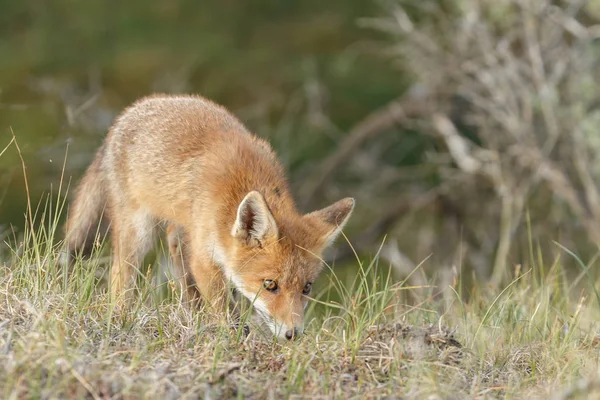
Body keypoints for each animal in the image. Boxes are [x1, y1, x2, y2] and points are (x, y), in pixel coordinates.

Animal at [66, 94, 354, 340]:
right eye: (270, 284)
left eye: (307, 288)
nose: (293, 334)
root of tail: (126, 114)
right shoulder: (204, 257)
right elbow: (224, 308)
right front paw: (236, 339)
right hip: (139, 232)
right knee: (120, 276)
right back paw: (121, 317)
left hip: (179, 226)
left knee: (175, 252)